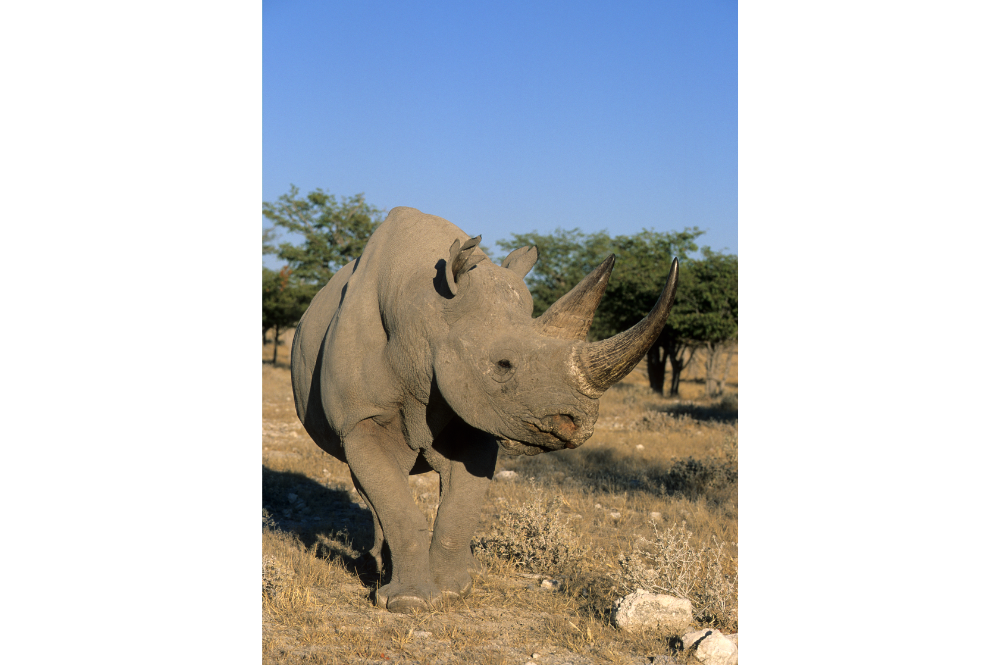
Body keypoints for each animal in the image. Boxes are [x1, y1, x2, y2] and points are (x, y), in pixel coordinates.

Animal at [292, 208, 680, 612]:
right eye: (503, 365)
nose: (578, 424)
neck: (426, 311)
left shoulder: (477, 409)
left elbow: (461, 504)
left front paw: (455, 589)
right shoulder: (361, 418)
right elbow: (395, 502)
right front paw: (409, 603)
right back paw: (378, 569)